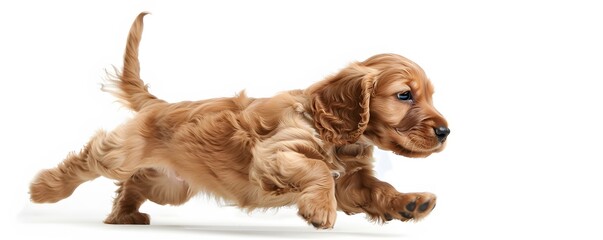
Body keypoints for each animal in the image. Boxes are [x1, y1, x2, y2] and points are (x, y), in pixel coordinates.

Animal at [30, 11, 450, 229]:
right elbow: (317, 170)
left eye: (430, 95)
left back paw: (124, 215)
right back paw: (44, 189)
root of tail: (158, 105)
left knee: (133, 182)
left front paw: (410, 203)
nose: (446, 131)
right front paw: (320, 210)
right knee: (89, 160)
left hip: (171, 186)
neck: (335, 132)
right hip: (122, 152)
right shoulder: (275, 155)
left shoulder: (351, 181)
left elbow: (377, 188)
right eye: (404, 95)